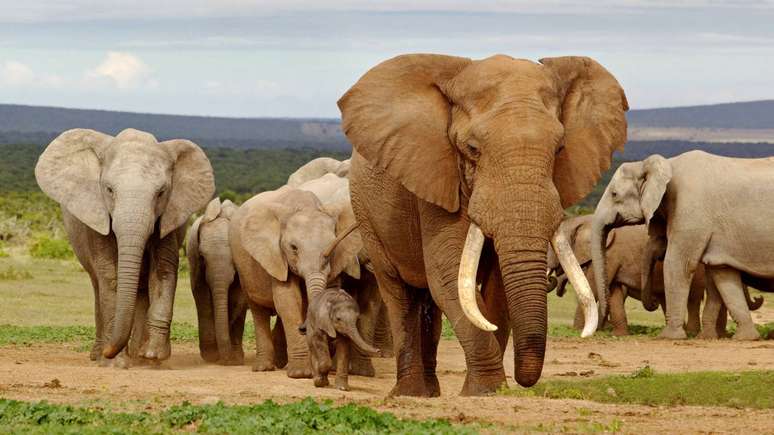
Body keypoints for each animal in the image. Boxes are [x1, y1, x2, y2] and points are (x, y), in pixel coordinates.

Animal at [35, 128, 215, 366]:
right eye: (109, 190)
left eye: (161, 193)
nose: (110, 351)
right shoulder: (97, 216)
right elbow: (111, 276)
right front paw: (114, 363)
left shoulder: (168, 217)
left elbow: (163, 271)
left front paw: (153, 357)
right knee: (97, 284)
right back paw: (99, 355)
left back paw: (138, 356)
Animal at [186, 197, 247, 365]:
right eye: (202, 256)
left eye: (234, 257)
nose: (226, 361)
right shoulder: (195, 260)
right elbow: (202, 296)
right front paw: (211, 356)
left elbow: (237, 299)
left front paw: (234, 359)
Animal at [230, 182, 361, 378]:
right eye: (293, 248)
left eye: (333, 245)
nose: (303, 328)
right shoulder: (277, 256)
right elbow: (289, 301)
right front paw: (301, 374)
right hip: (243, 267)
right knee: (258, 309)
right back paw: (264, 368)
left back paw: (279, 362)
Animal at [338, 54, 629, 395]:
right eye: (472, 150)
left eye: (559, 149)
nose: (523, 380)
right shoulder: (437, 179)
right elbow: (448, 273)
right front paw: (487, 390)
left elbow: (497, 286)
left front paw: (489, 391)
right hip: (367, 214)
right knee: (399, 293)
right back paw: (411, 393)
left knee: (427, 300)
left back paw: (431, 393)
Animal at [592, 151, 773, 340]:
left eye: (614, 194)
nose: (654, 302)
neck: (666, 164)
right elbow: (723, 275)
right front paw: (744, 338)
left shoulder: (690, 213)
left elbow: (677, 265)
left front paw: (668, 337)